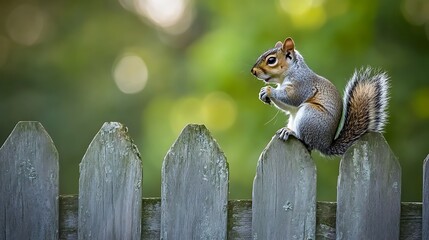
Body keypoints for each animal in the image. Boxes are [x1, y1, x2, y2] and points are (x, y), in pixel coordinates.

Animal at [249, 36, 390, 155]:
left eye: (271, 60)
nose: (253, 71)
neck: (290, 72)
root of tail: (324, 145)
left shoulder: (303, 85)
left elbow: (292, 98)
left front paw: (269, 91)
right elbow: (288, 107)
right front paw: (263, 92)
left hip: (310, 116)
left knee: (307, 142)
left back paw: (291, 132)